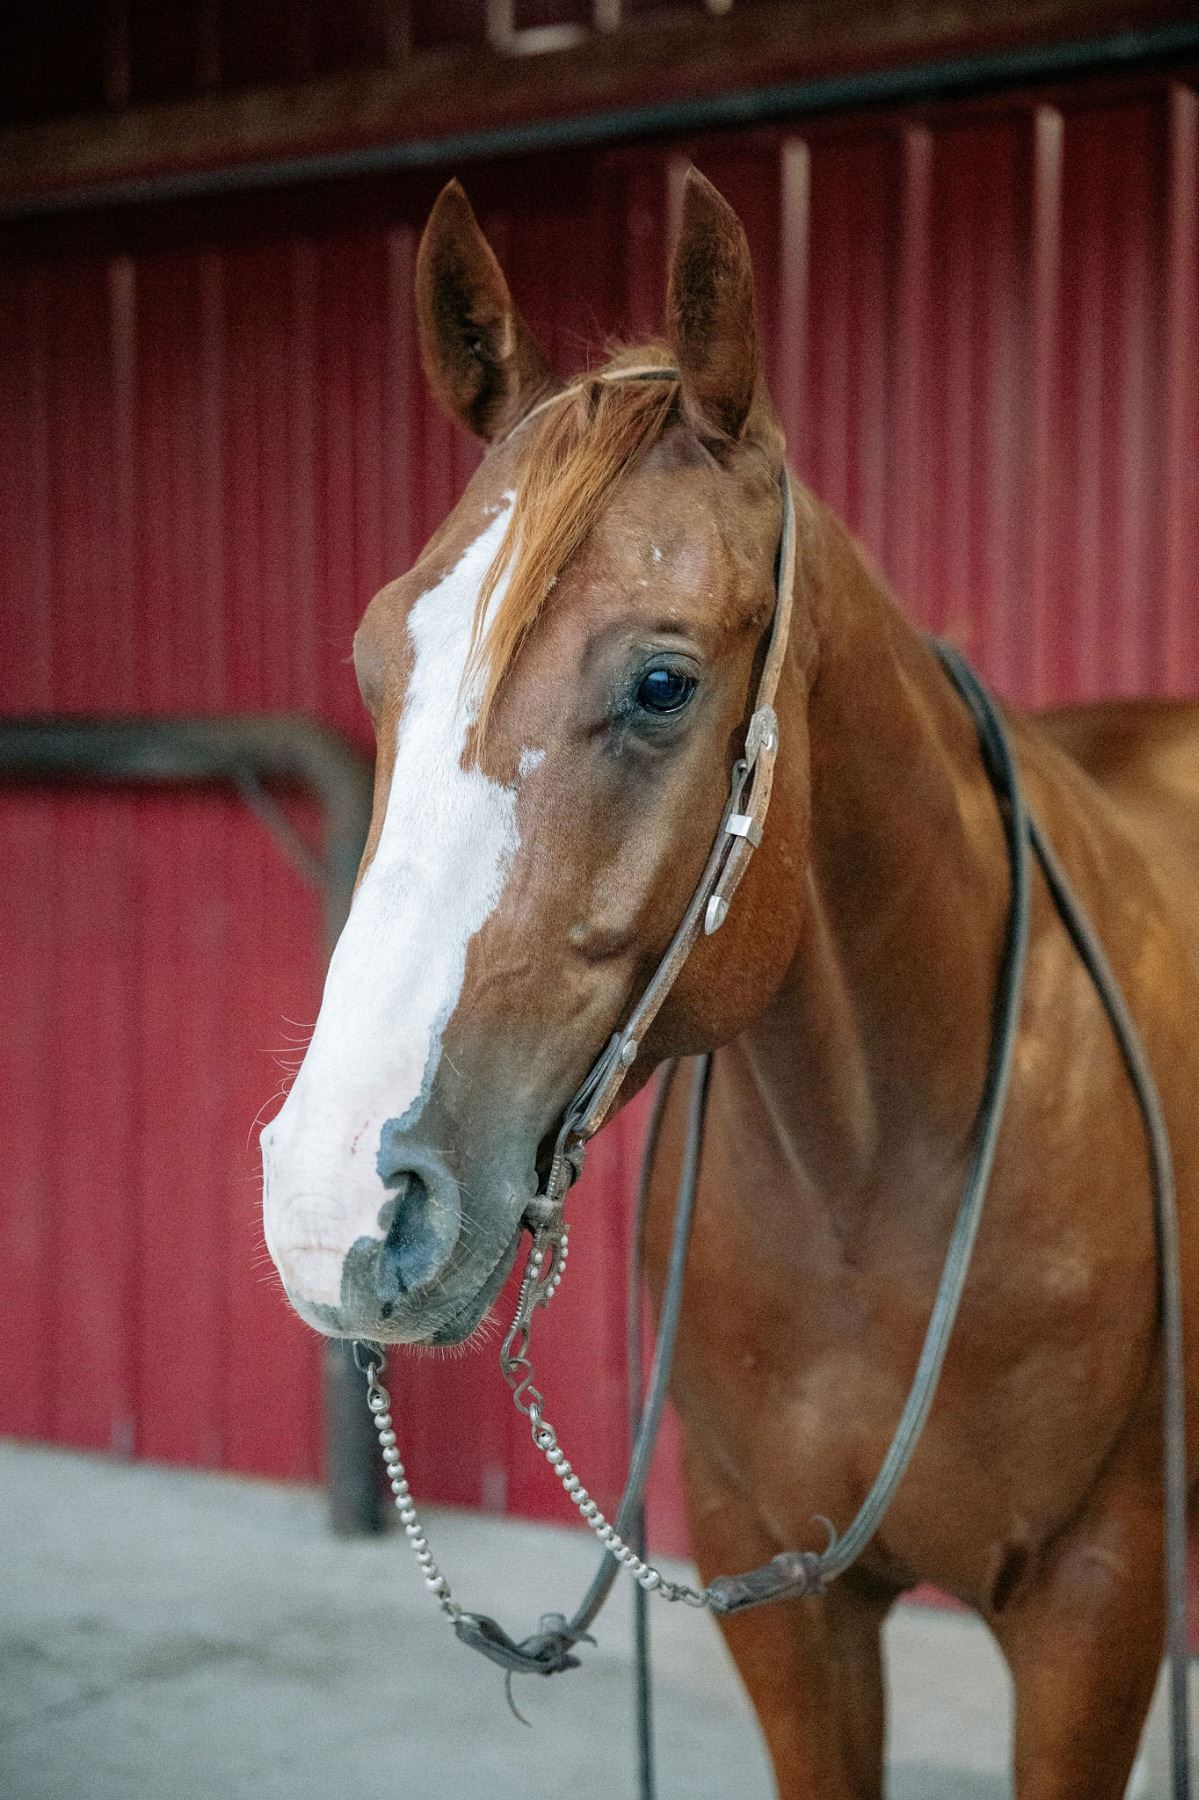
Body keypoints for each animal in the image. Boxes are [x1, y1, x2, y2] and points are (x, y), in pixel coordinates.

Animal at [260, 168, 1199, 1797]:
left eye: (660, 684)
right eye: (379, 664)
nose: (333, 1207)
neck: (870, 1186)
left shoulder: (1093, 1606)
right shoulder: (783, 1604)